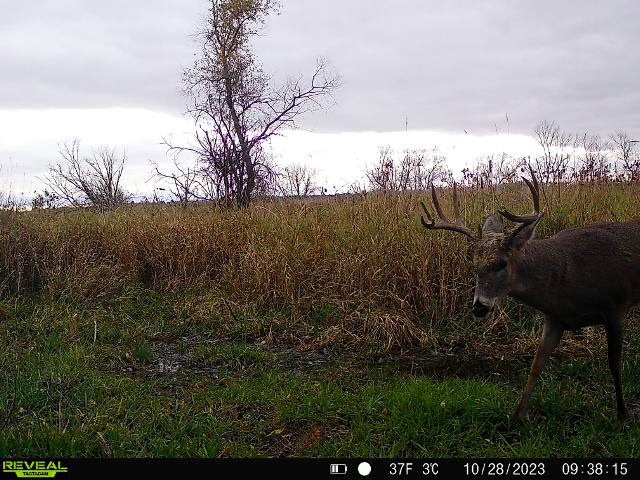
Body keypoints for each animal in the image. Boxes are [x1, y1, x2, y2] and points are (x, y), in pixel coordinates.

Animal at [420, 167, 640, 420]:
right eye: (473, 266)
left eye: (502, 263)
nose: (479, 307)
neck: (567, 277)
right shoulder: (554, 318)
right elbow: (536, 364)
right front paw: (517, 417)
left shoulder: (615, 306)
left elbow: (615, 363)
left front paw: (622, 413)